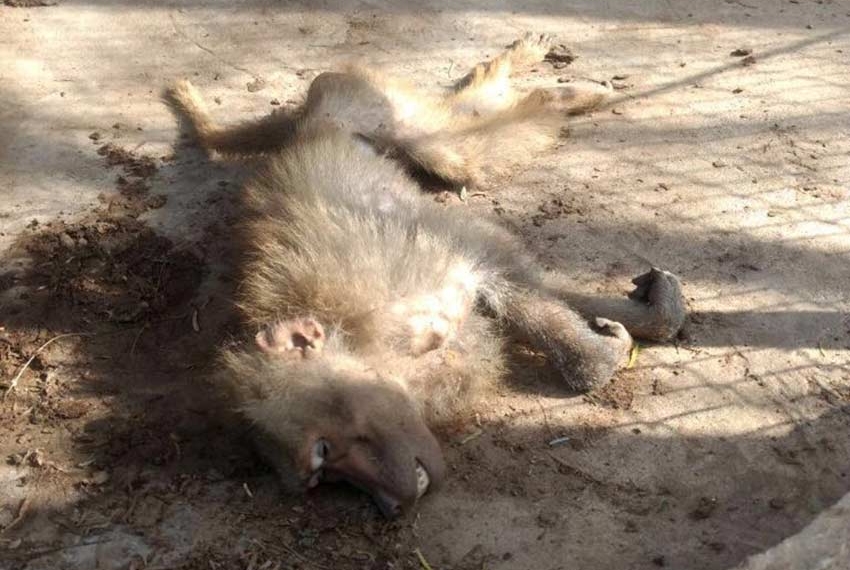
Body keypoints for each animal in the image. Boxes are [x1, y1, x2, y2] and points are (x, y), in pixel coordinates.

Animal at [166, 35, 686, 518]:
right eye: (322, 475)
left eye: (322, 449)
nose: (392, 506)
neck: (364, 344)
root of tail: (305, 120)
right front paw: (634, 322)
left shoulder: (445, 269)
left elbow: (509, 276)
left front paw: (611, 347)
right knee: (474, 131)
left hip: (384, 114)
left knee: (460, 149)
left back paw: (559, 85)